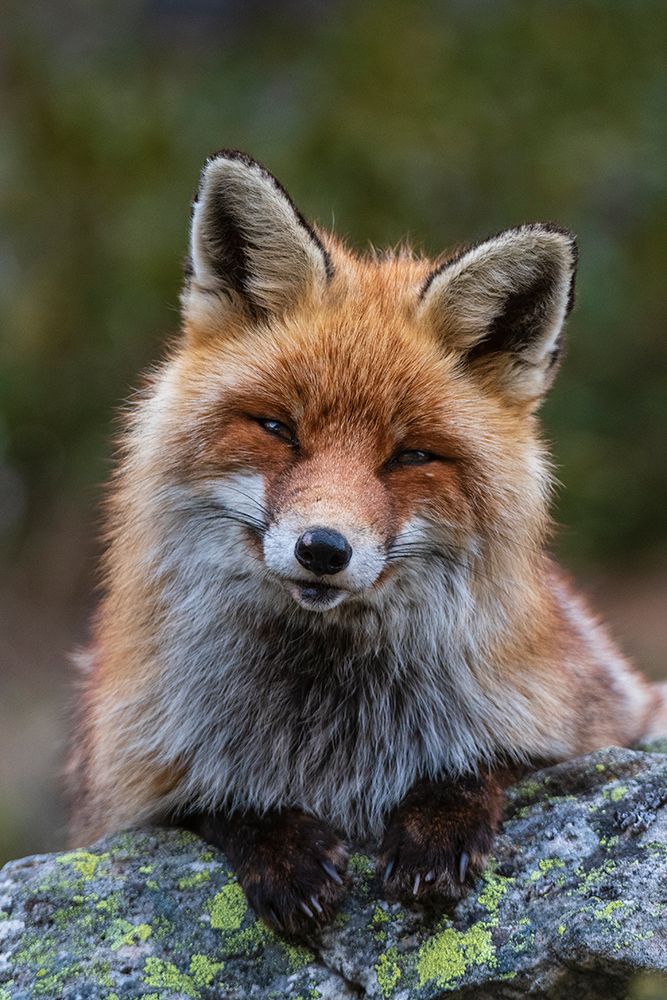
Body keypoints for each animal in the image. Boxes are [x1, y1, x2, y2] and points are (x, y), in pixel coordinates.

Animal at [68, 149, 667, 935]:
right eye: (278, 428)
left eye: (410, 456)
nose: (323, 549)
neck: (332, 720)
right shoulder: (127, 790)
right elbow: (216, 801)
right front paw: (281, 847)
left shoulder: (601, 723)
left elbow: (490, 761)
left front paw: (436, 826)